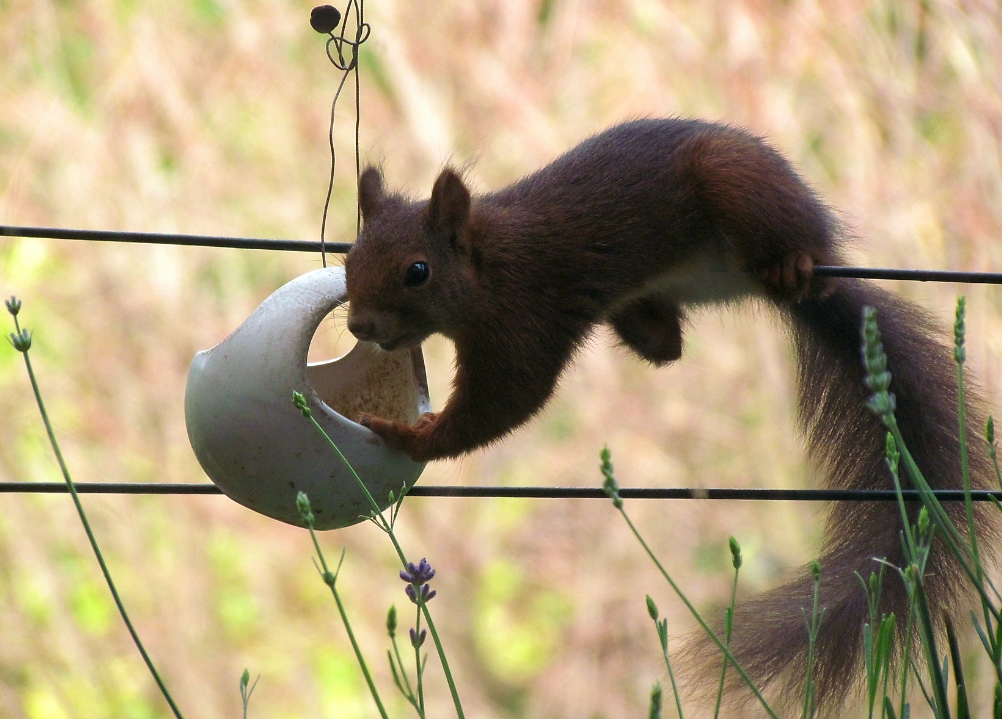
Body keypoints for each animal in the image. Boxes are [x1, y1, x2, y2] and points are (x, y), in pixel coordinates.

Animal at [342, 119, 993, 708]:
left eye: (418, 271)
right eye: (349, 262)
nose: (359, 325)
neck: (487, 263)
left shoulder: (526, 318)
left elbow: (505, 400)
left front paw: (410, 436)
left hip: (740, 184)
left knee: (795, 249)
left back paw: (793, 264)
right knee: (667, 346)